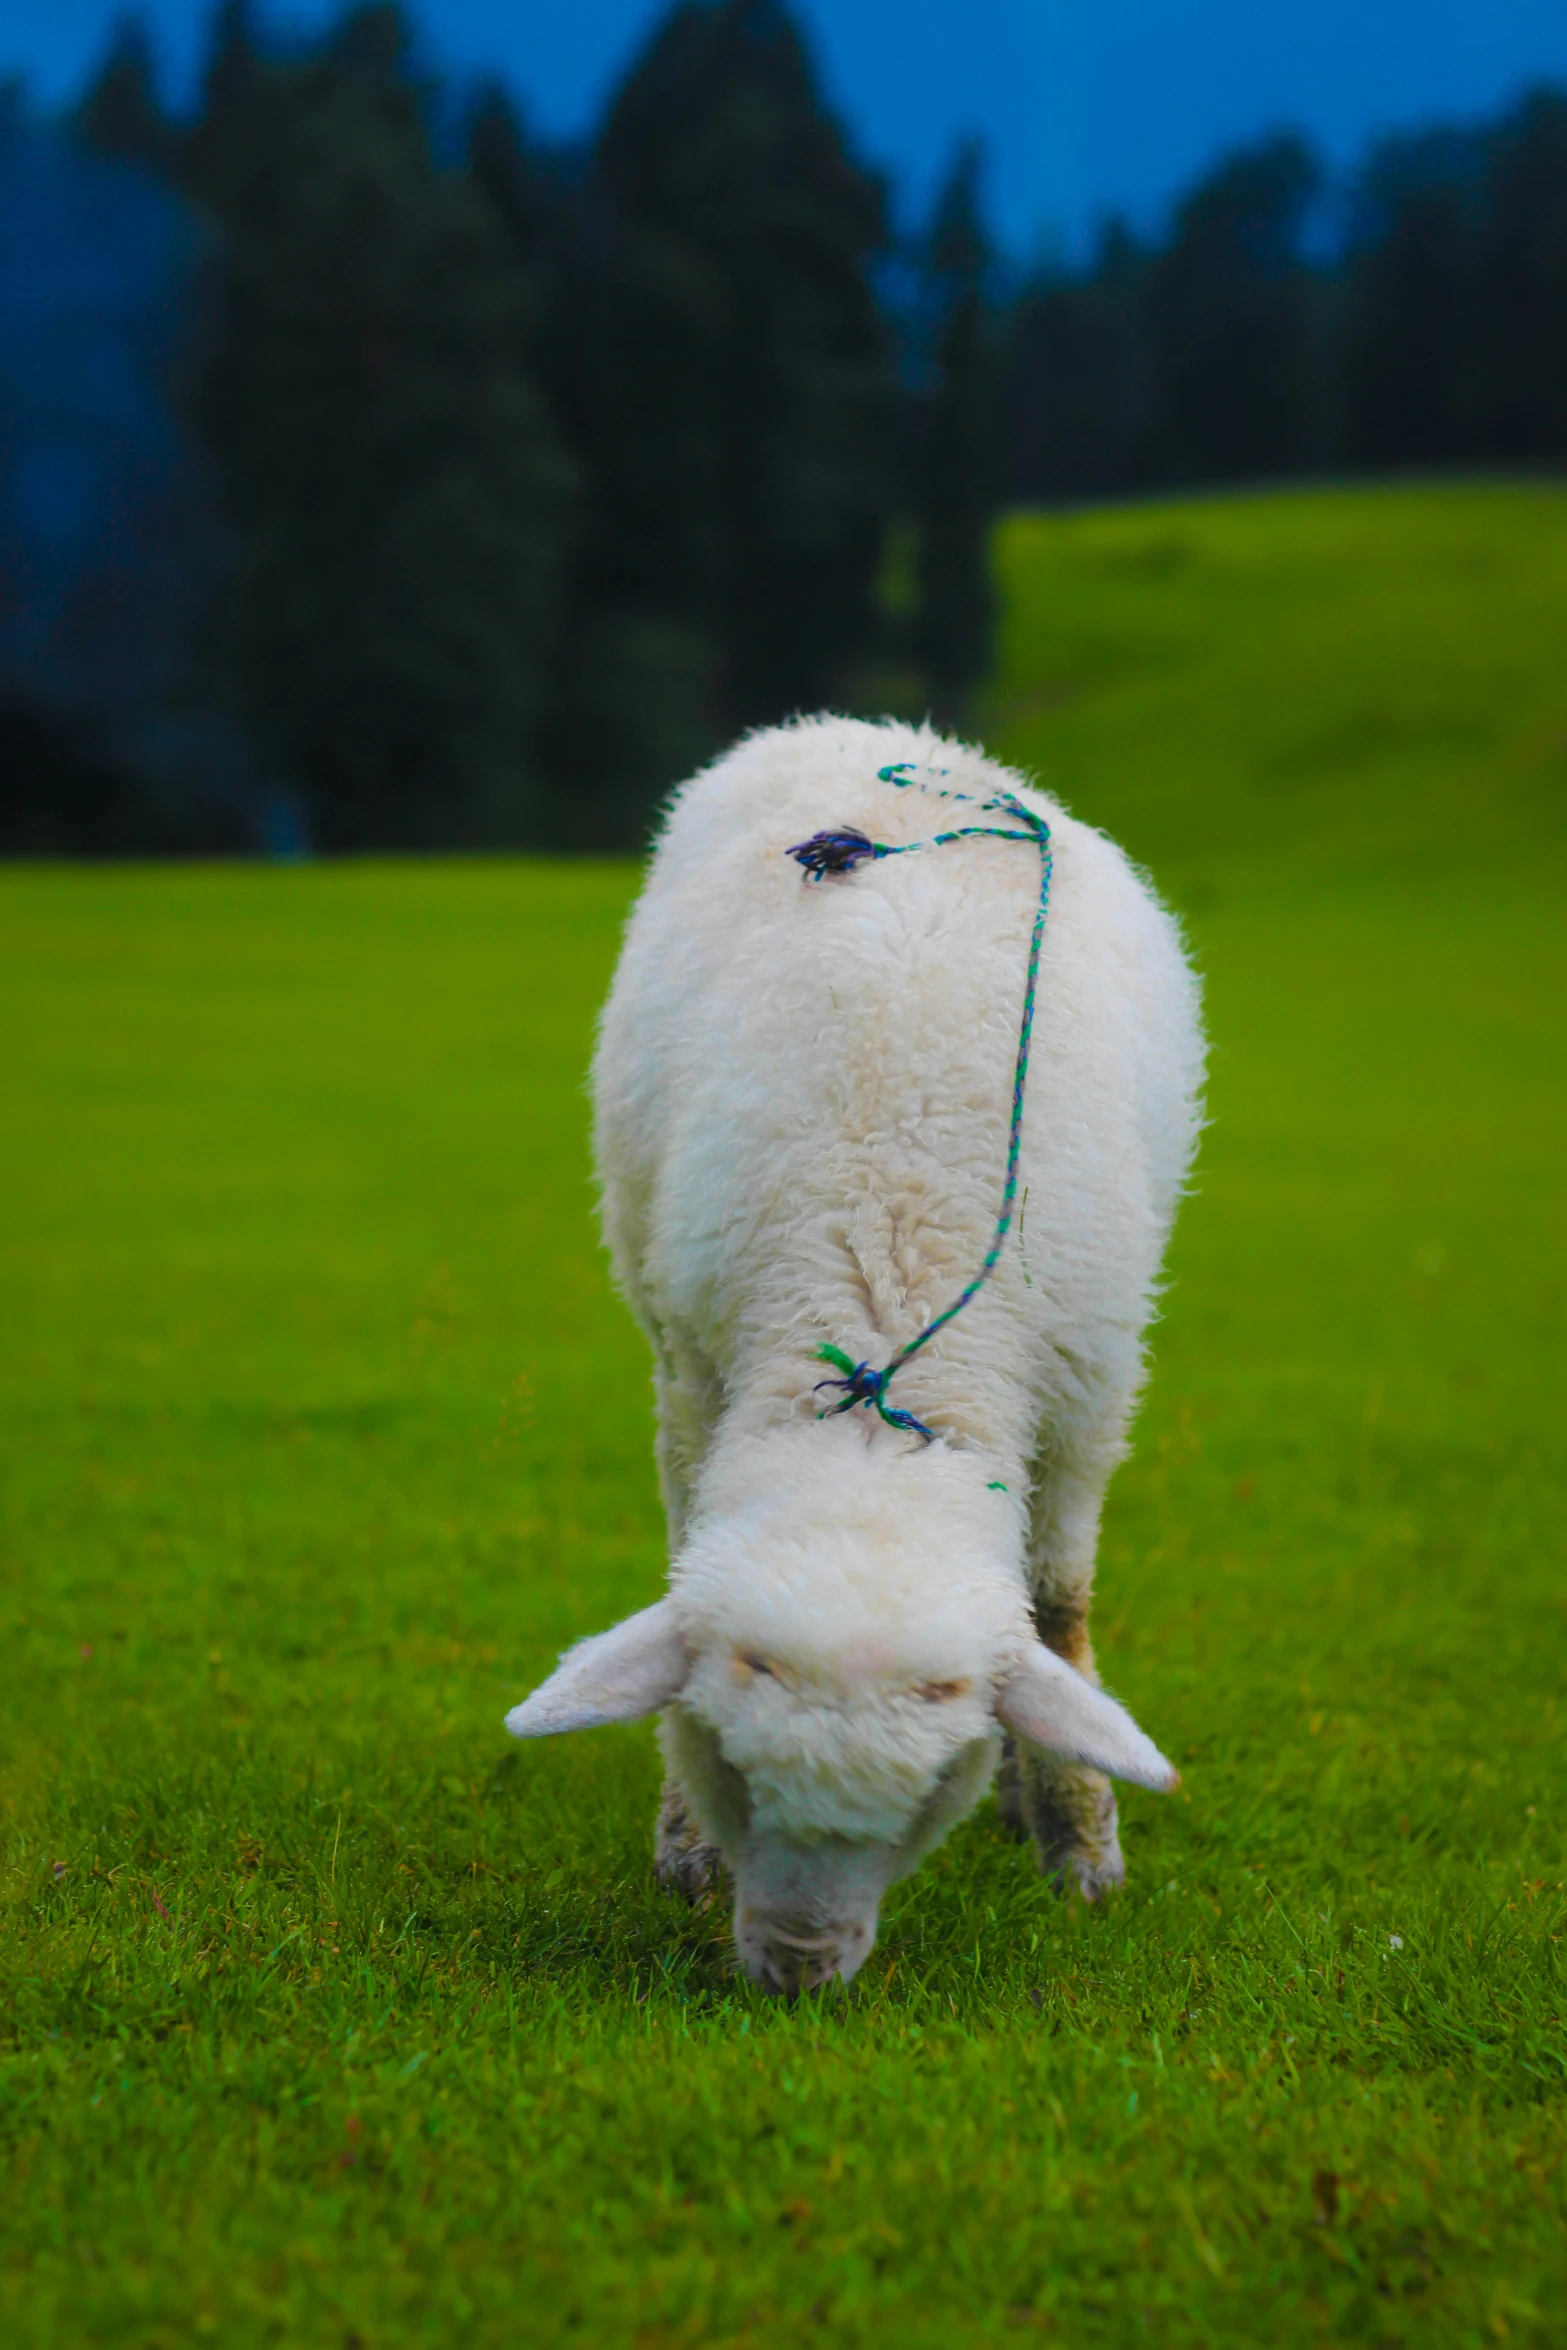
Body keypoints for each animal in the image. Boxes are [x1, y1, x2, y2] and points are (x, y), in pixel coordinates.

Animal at [509, 705, 1212, 1992]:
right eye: (723, 1763)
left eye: (933, 1790)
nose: (795, 1972)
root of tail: (870, 725)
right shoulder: (690, 1369)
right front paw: (683, 1850)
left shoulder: (1092, 1393)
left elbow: (1057, 1608)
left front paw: (1080, 1841)